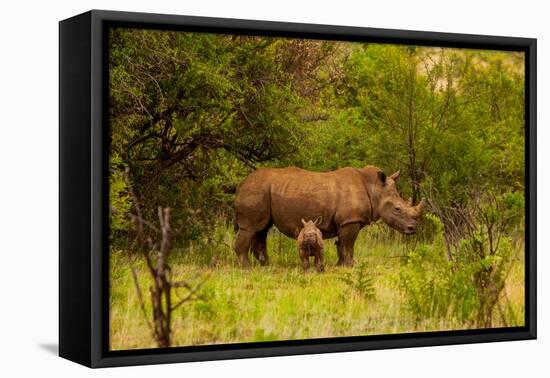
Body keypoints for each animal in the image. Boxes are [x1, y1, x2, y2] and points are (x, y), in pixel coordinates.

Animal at [233, 165, 426, 266]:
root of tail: (240, 185)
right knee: (251, 228)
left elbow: (341, 245)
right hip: (256, 191)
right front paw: (351, 265)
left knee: (262, 229)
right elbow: (348, 244)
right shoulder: (350, 220)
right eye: (397, 209)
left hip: (262, 192)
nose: (413, 229)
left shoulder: (344, 221)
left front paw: (340, 265)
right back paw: (247, 268)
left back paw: (266, 265)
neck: (375, 189)